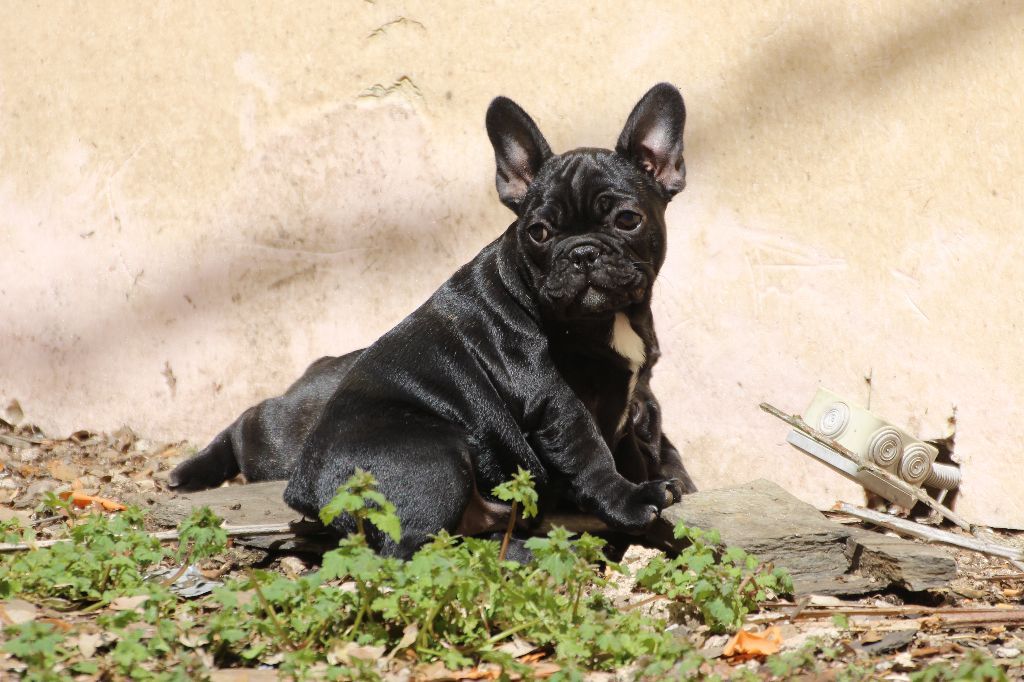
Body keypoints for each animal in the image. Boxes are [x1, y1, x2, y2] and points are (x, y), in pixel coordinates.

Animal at [280, 82, 692, 557]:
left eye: (627, 219)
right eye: (538, 233)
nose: (582, 252)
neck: (607, 319)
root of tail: (304, 488)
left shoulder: (628, 395)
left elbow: (629, 451)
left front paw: (649, 483)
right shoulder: (558, 402)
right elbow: (591, 455)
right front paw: (632, 500)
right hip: (436, 458)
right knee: (415, 551)